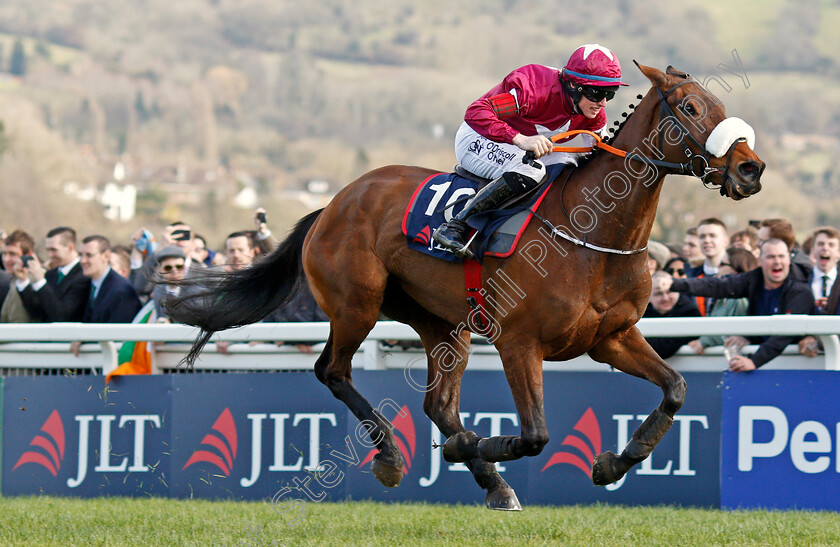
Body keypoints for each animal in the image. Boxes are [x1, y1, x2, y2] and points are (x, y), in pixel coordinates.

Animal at [169, 62, 760, 512]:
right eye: (690, 109)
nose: (750, 169)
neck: (593, 235)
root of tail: (332, 204)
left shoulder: (612, 337)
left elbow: (675, 389)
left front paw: (615, 461)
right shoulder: (519, 342)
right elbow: (535, 434)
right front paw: (470, 448)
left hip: (442, 323)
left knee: (439, 405)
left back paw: (492, 482)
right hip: (357, 305)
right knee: (333, 372)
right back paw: (394, 458)